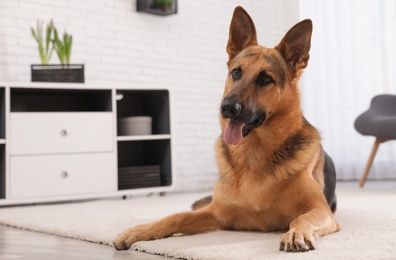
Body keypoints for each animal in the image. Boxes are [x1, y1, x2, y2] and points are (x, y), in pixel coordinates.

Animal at [113, 7, 338, 253]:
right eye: (236, 73)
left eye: (265, 79)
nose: (227, 108)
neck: (253, 155)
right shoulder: (217, 213)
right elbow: (175, 216)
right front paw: (139, 231)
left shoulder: (321, 211)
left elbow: (300, 218)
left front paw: (296, 233)